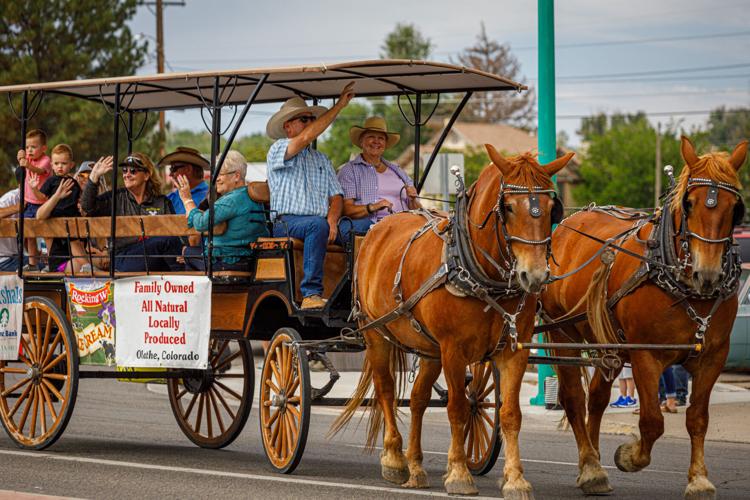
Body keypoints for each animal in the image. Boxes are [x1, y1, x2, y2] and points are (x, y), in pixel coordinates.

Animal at [332, 143, 572, 498]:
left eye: (550, 208)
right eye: (508, 207)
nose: (535, 275)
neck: (477, 273)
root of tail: (379, 228)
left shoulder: (512, 351)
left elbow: (509, 414)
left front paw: (515, 479)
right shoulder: (454, 350)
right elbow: (457, 407)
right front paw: (459, 473)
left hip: (428, 348)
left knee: (418, 399)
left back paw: (416, 466)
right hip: (377, 335)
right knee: (386, 390)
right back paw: (394, 459)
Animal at [540, 137, 748, 500]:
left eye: (735, 207)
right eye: (689, 204)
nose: (707, 274)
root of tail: (567, 224)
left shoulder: (712, 356)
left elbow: (698, 418)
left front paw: (699, 479)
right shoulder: (645, 355)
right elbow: (652, 421)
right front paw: (629, 456)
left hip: (606, 344)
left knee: (597, 398)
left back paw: (591, 461)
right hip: (563, 333)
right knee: (574, 399)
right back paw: (591, 467)